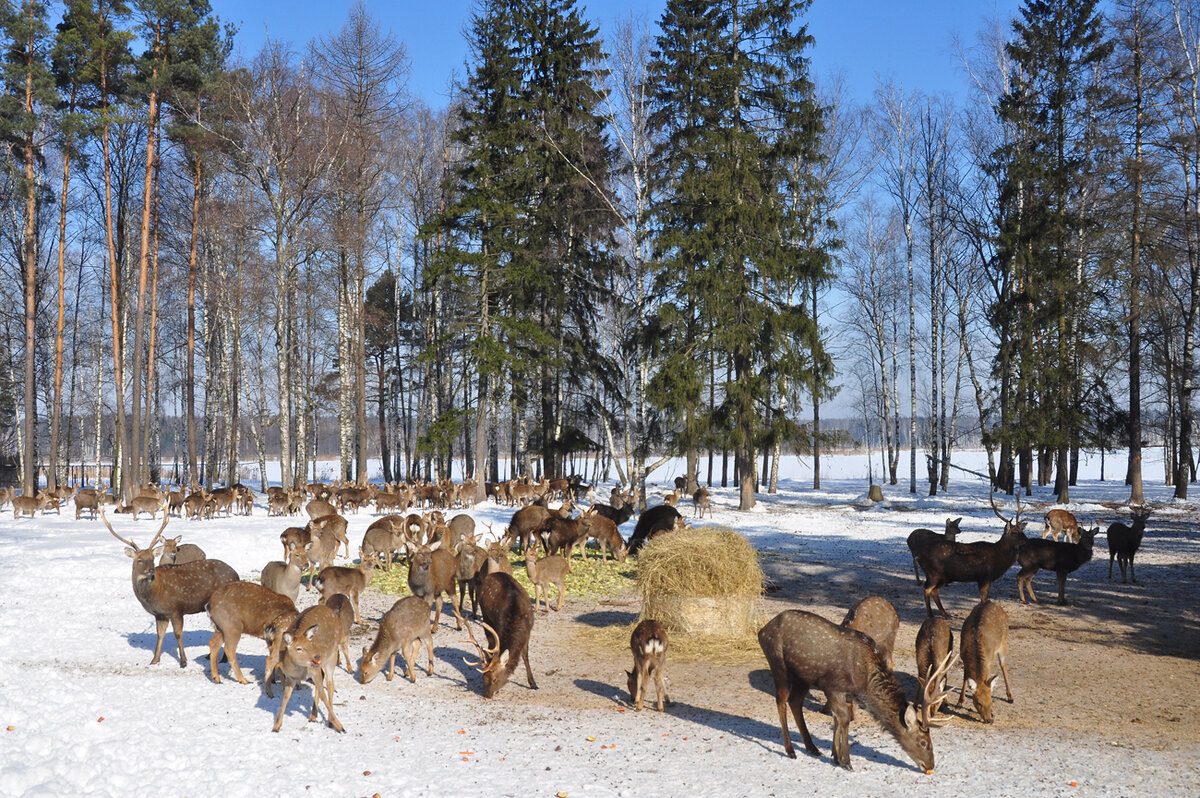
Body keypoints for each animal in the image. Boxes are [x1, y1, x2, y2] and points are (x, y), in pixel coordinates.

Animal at [105, 511, 241, 667]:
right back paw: (213, 656)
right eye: (139, 560)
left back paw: (222, 659)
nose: (151, 570)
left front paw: (183, 661)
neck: (153, 593)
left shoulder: (176, 608)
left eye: (152, 559)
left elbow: (178, 634)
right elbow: (160, 635)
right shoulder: (160, 614)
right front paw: (154, 660)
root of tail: (237, 575)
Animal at [460, 568, 537, 696]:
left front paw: (533, 684)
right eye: (484, 678)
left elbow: (525, 656)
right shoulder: (498, 628)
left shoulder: (528, 632)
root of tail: (493, 574)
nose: (487, 695)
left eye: (495, 679)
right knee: (490, 643)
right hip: (486, 616)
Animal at [758, 609, 955, 772]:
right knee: (781, 701)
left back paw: (812, 747)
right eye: (923, 742)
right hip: (778, 663)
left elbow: (837, 719)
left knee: (795, 702)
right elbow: (844, 718)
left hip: (803, 676)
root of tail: (762, 631)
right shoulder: (833, 686)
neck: (863, 683)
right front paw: (846, 761)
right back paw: (790, 750)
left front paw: (835, 756)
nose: (931, 765)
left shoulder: (845, 693)